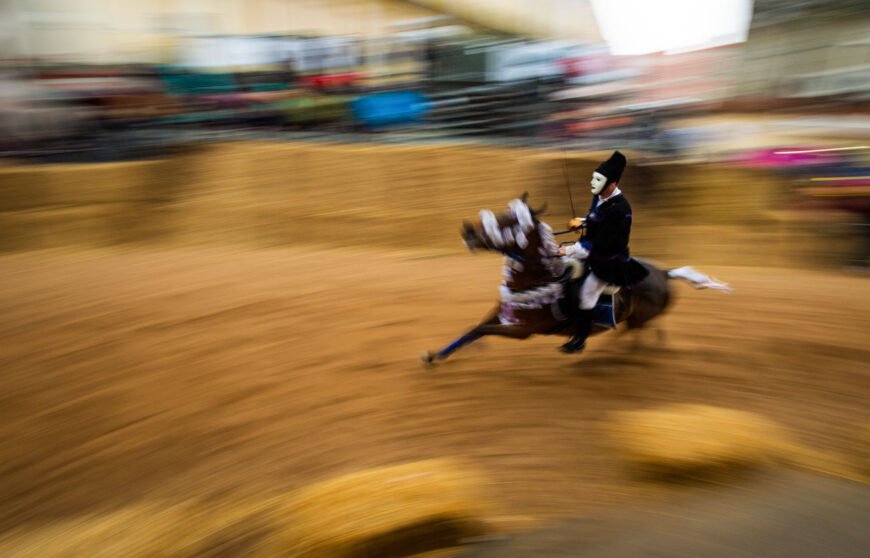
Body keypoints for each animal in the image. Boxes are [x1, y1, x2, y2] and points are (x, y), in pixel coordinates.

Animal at [422, 198, 728, 368]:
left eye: (509, 221)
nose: (468, 232)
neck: (535, 280)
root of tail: (665, 273)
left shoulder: (522, 331)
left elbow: (484, 330)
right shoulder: (501, 312)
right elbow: (474, 329)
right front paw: (434, 356)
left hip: (638, 318)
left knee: (634, 336)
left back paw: (605, 352)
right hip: (638, 318)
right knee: (646, 334)